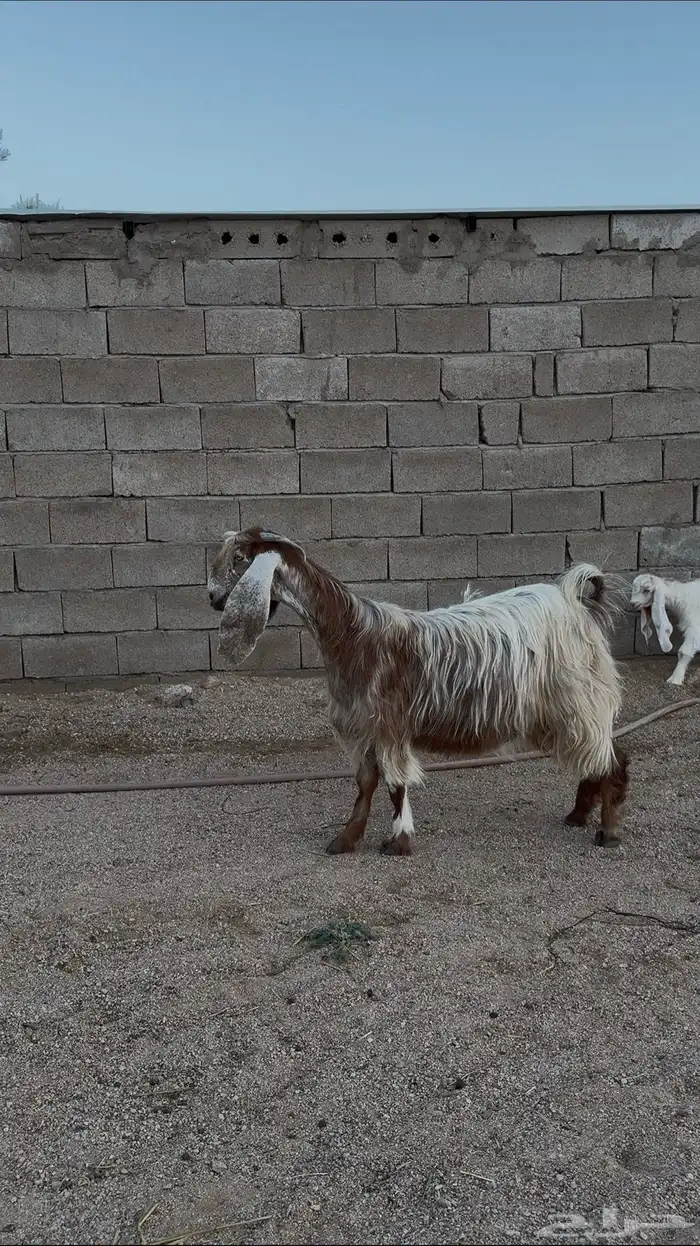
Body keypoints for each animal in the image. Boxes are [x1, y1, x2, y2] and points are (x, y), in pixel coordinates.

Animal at [208, 527, 629, 855]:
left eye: (240, 559)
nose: (212, 598)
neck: (351, 635)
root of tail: (581, 605)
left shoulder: (389, 725)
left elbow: (396, 784)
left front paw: (399, 841)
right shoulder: (364, 727)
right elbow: (366, 783)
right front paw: (347, 838)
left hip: (578, 697)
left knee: (613, 758)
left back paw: (607, 832)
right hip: (560, 709)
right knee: (596, 756)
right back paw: (577, 815)